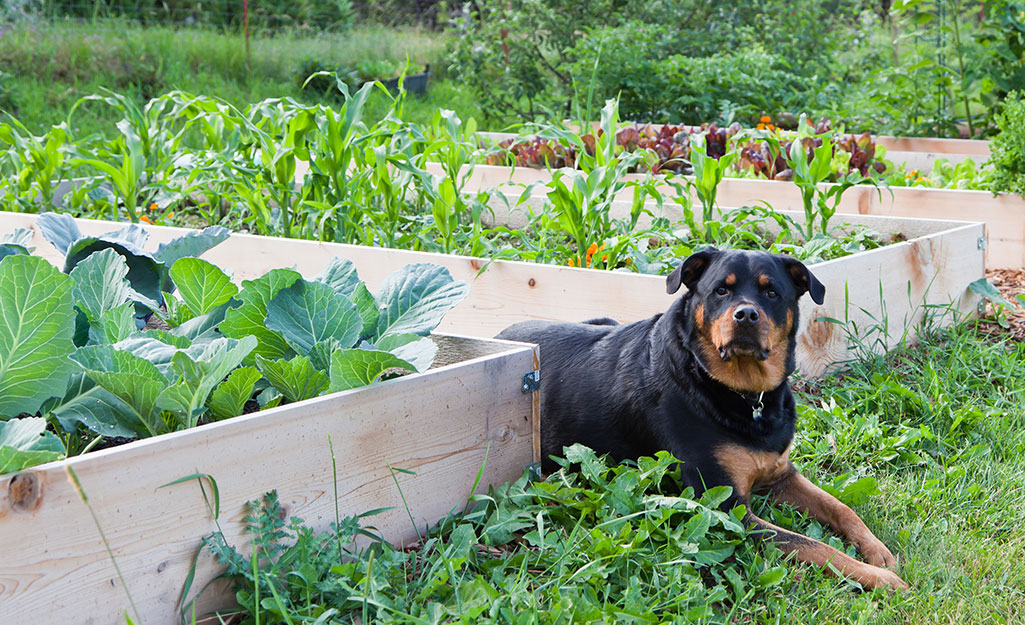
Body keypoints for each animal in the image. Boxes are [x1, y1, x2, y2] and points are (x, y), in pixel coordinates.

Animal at [500, 246, 910, 590]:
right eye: (721, 291)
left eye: (771, 293)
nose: (746, 314)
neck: (743, 395)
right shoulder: (726, 508)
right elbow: (811, 544)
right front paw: (878, 578)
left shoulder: (780, 473)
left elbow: (841, 508)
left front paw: (878, 552)